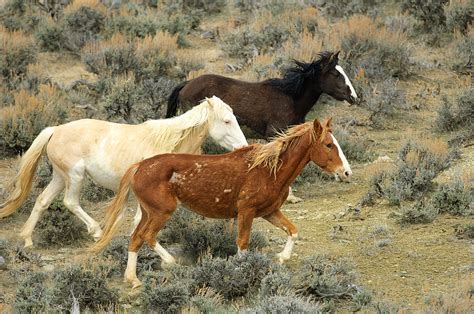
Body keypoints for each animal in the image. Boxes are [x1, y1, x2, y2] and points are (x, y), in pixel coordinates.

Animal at [0, 95, 246, 248]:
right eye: (227, 121)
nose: (243, 147)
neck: (168, 142)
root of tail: (55, 130)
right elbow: (139, 219)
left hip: (60, 177)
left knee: (42, 200)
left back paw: (27, 240)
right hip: (75, 176)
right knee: (70, 202)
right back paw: (97, 232)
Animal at [90, 117, 354, 288]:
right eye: (328, 144)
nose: (347, 172)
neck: (269, 170)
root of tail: (139, 166)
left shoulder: (270, 212)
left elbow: (293, 231)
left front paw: (282, 257)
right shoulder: (246, 211)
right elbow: (243, 244)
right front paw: (242, 271)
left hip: (148, 211)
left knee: (135, 238)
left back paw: (133, 279)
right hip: (162, 212)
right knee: (147, 236)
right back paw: (171, 263)